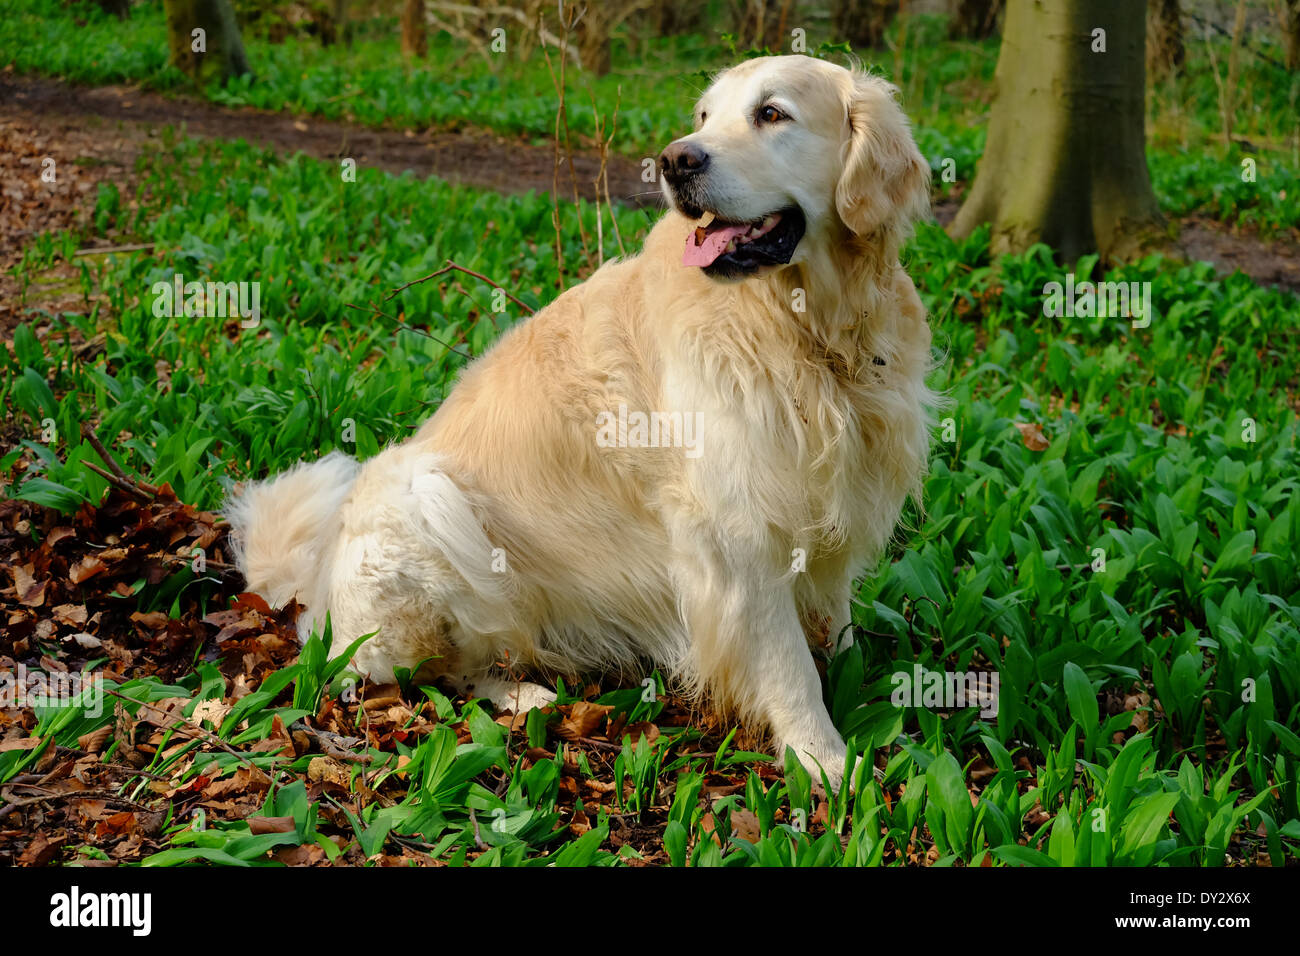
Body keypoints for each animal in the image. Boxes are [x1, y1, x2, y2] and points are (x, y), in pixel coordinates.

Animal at [226, 54, 935, 785]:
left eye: (772, 113)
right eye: (705, 116)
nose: (675, 160)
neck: (809, 333)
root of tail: (313, 585)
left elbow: (836, 612)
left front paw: (855, 675)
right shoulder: (735, 531)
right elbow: (789, 666)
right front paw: (825, 759)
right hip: (425, 500)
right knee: (430, 672)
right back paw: (520, 692)